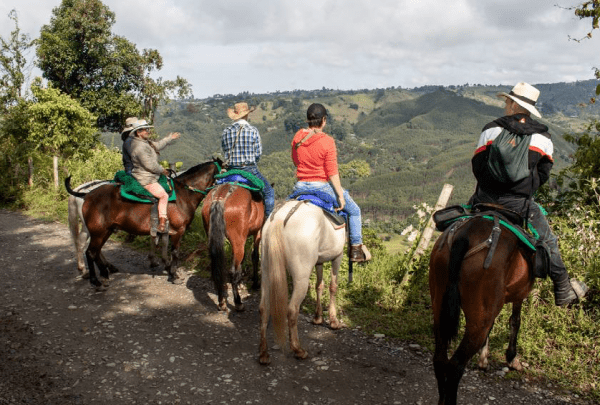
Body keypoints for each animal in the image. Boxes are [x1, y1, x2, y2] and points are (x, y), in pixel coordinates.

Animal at [64, 158, 223, 288]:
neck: (183, 195)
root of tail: (86, 194)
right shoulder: (178, 231)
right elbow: (174, 252)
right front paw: (174, 274)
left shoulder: (165, 230)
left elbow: (162, 247)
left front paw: (165, 267)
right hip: (97, 231)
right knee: (90, 251)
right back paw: (94, 279)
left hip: (104, 231)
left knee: (94, 250)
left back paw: (104, 273)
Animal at [200, 181, 264, 310]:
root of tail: (220, 197)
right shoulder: (258, 232)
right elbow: (255, 256)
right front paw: (255, 283)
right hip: (238, 240)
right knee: (232, 271)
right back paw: (238, 302)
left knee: (217, 267)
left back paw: (221, 301)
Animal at [258, 200, 346, 364]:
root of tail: (280, 218)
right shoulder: (338, 256)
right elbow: (333, 286)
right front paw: (333, 321)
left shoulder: (319, 261)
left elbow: (319, 286)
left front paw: (318, 318)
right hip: (301, 277)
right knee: (292, 310)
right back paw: (298, 350)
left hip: (266, 271)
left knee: (263, 308)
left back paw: (264, 353)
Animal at [426, 213, 536, 402]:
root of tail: (465, 236)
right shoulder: (519, 294)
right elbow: (515, 320)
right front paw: (511, 358)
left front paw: (483, 358)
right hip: (478, 320)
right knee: (455, 365)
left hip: (440, 305)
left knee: (440, 359)